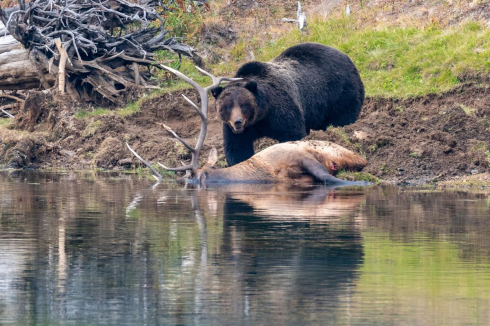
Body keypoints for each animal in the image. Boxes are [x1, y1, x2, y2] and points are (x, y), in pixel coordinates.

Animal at [212, 42, 366, 167]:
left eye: (244, 104)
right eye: (227, 107)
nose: (238, 122)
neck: (262, 115)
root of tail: (346, 56)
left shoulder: (281, 110)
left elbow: (292, 133)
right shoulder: (236, 129)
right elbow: (237, 148)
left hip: (339, 92)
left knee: (343, 116)